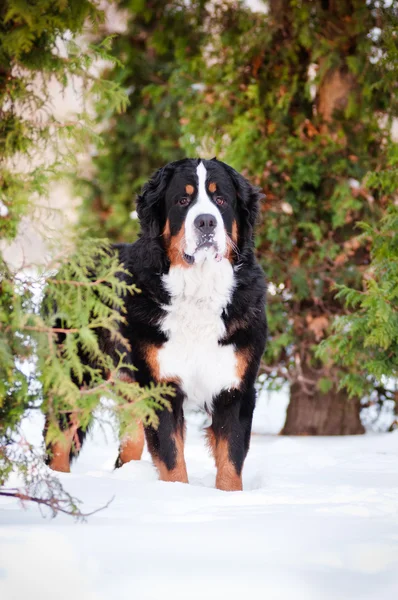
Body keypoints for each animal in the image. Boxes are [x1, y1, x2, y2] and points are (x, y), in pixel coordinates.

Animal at [45, 157, 266, 490]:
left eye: (221, 200)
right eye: (183, 201)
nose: (206, 222)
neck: (199, 290)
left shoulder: (234, 388)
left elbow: (231, 461)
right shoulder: (160, 388)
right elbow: (173, 460)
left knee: (130, 443)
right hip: (74, 375)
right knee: (58, 442)